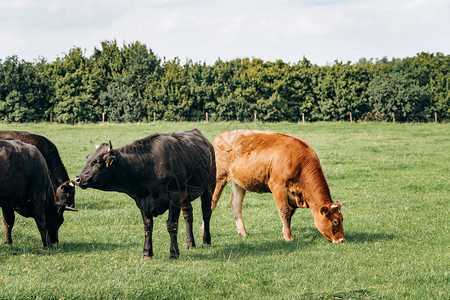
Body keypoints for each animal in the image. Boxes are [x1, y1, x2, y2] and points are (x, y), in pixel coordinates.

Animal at [75, 127, 216, 258]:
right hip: (185, 196)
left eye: (97, 161)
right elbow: (148, 226)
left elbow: (172, 225)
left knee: (206, 213)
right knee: (188, 214)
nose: (77, 179)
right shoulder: (143, 200)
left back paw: (206, 240)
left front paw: (173, 253)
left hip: (209, 187)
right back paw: (190, 243)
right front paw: (147, 252)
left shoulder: (174, 198)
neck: (150, 166)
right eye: (87, 158)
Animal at [210, 130, 344, 243]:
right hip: (219, 177)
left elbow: (290, 213)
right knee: (212, 203)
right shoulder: (278, 186)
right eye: (335, 221)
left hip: (239, 182)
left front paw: (285, 232)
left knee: (236, 204)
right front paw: (288, 237)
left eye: (342, 219)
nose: (342, 240)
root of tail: (221, 135)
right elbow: (284, 211)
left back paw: (243, 232)